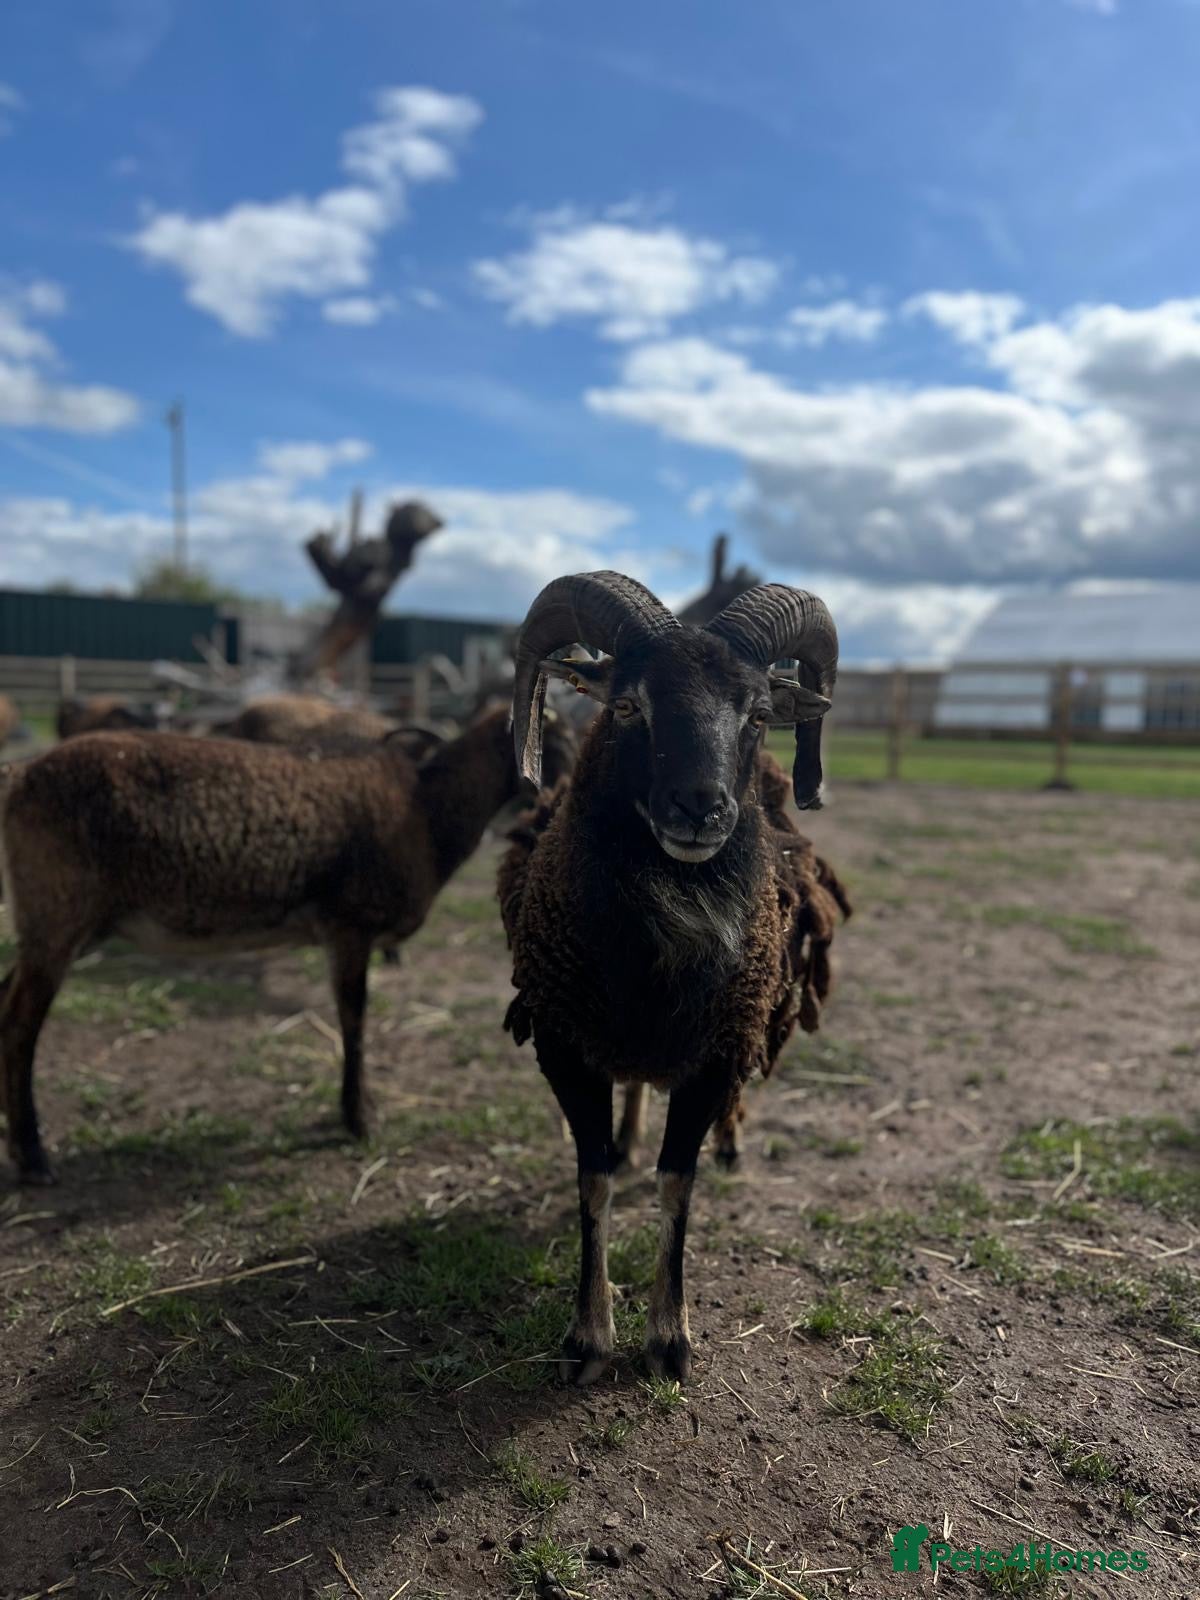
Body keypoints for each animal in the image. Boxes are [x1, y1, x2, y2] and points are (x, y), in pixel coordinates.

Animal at [0, 706, 571, 1184]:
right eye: (557, 737)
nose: (564, 797)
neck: (425, 813)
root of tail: (21, 775)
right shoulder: (348, 926)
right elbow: (353, 1019)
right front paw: (359, 1118)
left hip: (56, 926)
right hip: (57, 914)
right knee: (21, 1023)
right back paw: (32, 1157)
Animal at [498, 570, 846, 1384]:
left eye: (758, 714)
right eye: (628, 706)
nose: (700, 808)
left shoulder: (716, 1054)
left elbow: (677, 1185)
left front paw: (669, 1339)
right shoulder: (566, 1044)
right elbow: (593, 1180)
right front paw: (588, 1339)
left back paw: (731, 1143)